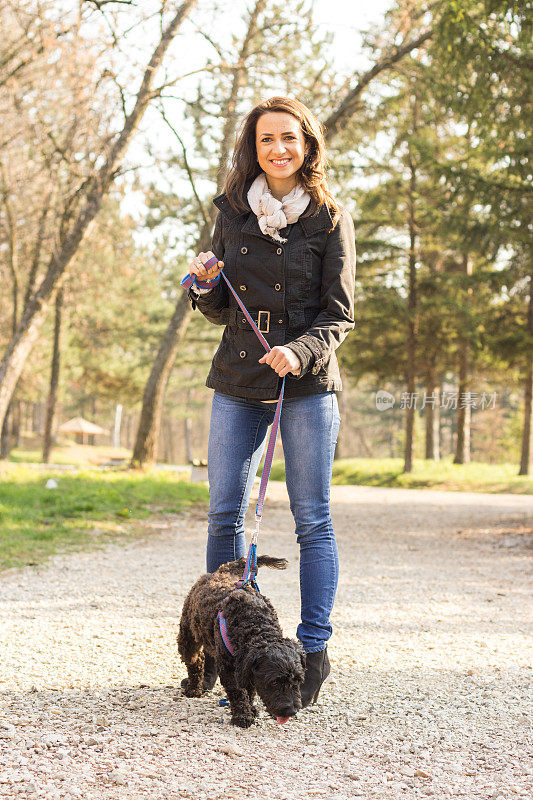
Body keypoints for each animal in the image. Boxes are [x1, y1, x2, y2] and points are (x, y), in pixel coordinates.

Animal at [178, 552, 306, 728]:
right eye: (274, 682)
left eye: (298, 680)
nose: (292, 711)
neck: (255, 625)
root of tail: (223, 570)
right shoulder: (229, 669)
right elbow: (238, 692)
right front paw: (242, 716)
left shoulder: (247, 668)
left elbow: (249, 690)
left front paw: (251, 709)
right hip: (188, 636)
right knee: (195, 660)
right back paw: (194, 688)